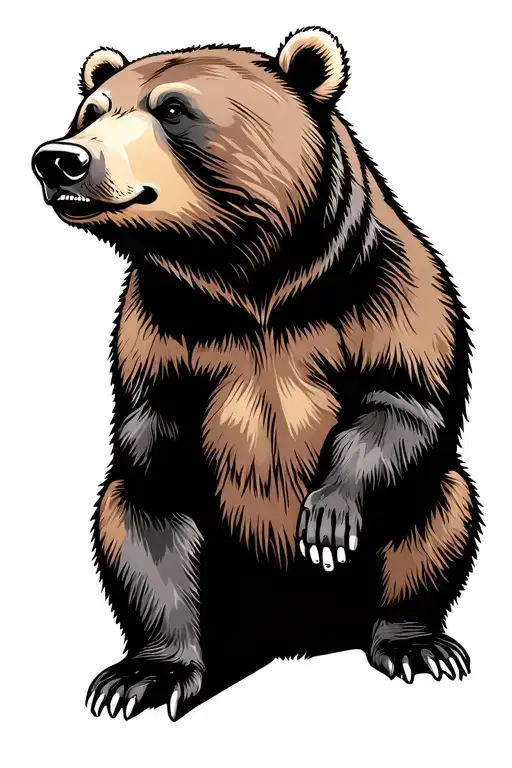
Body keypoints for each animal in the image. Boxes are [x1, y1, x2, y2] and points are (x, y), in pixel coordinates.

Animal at [32, 27, 481, 721]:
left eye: (172, 108)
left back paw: (414, 643)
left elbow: (404, 400)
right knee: (133, 534)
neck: (251, 282)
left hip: (423, 511)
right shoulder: (162, 325)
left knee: (438, 518)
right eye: (92, 111)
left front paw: (326, 516)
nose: (60, 158)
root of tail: (289, 632)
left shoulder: (383, 287)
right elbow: (150, 446)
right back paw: (148, 672)